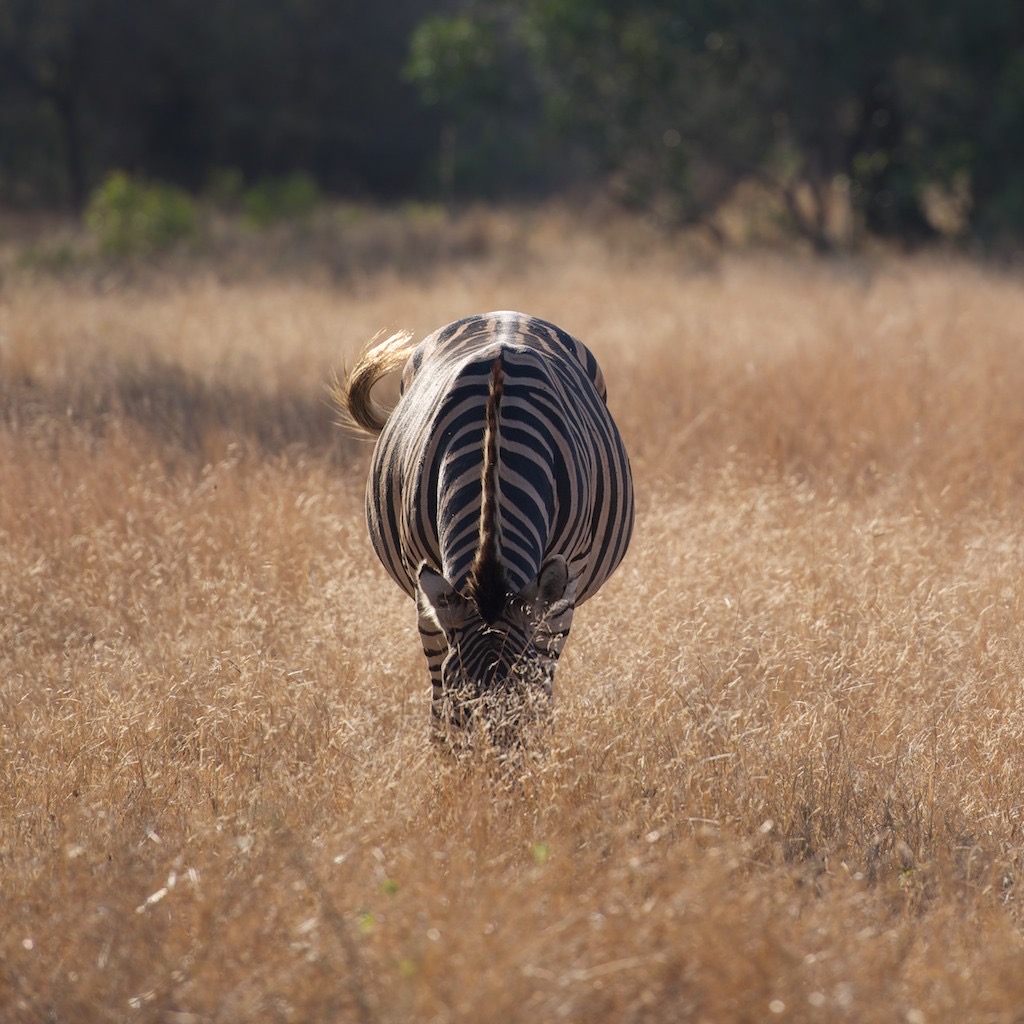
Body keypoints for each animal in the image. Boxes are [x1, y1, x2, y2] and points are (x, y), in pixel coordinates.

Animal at [337, 311, 630, 745]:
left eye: (523, 704)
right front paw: (443, 753)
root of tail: (506, 314)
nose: (490, 766)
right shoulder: (427, 587)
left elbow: (544, 680)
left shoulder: (563, 584)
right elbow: (438, 692)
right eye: (462, 706)